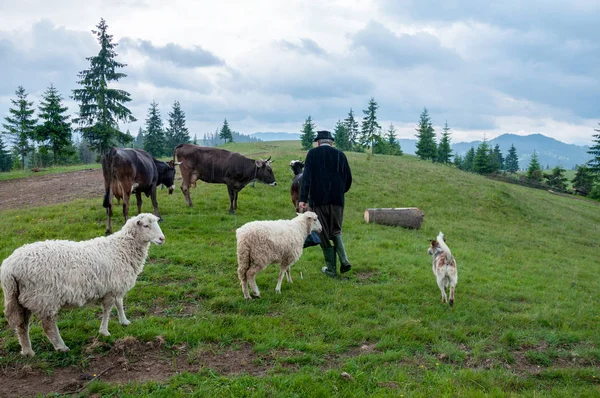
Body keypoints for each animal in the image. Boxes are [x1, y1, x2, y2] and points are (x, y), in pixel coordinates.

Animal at [1, 213, 165, 356]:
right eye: (146, 225)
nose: (162, 238)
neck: (121, 247)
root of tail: (9, 268)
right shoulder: (111, 288)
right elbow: (108, 310)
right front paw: (104, 331)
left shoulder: (115, 286)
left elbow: (119, 304)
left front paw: (124, 321)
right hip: (45, 297)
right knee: (48, 326)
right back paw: (61, 347)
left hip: (21, 298)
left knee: (22, 326)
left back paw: (28, 351)